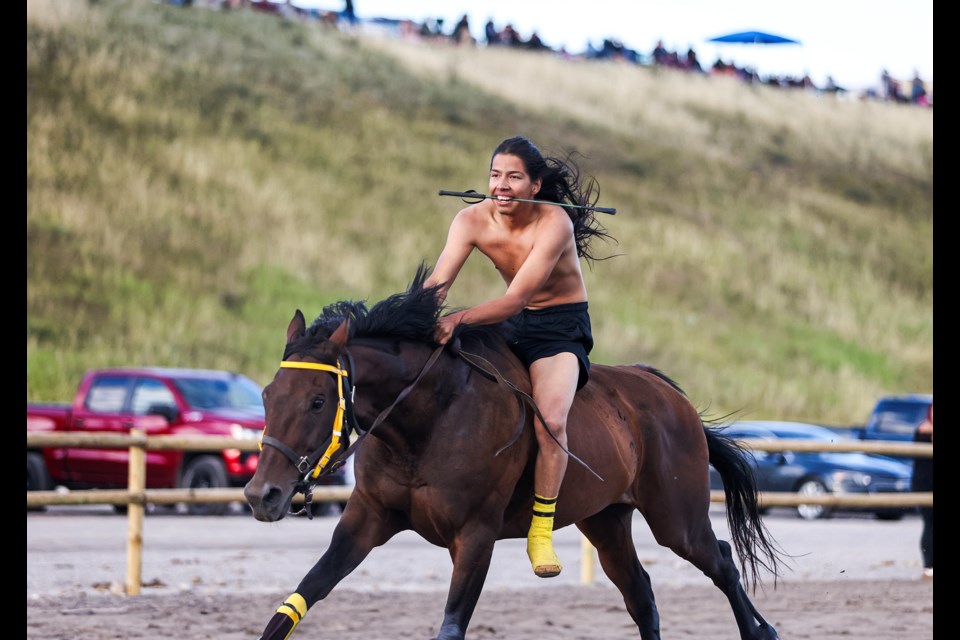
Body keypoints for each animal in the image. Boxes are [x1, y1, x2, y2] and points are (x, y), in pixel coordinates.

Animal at [244, 264, 784, 640]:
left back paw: (762, 630)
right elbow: (297, 601)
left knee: (720, 561)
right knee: (641, 594)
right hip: (606, 520)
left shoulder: (475, 537)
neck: (426, 424)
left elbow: (451, 625)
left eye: (317, 401)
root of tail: (668, 393)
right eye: (268, 395)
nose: (260, 494)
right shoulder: (365, 521)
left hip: (677, 520)